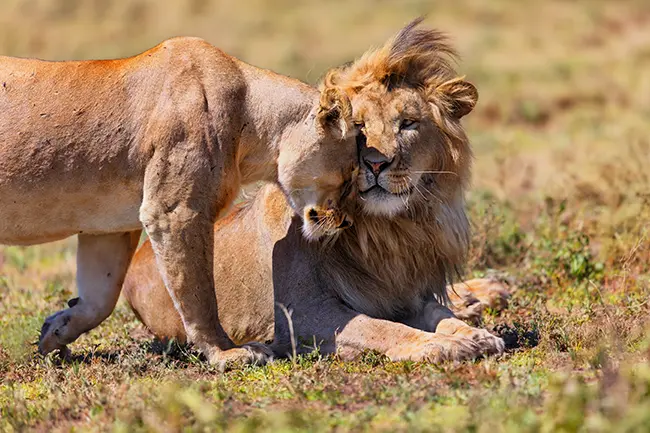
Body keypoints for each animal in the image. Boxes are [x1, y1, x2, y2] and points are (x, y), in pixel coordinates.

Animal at [0, 36, 356, 364]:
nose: (347, 222)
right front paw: (226, 352)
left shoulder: (108, 227)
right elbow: (198, 294)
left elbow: (99, 299)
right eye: (352, 176)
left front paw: (55, 331)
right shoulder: (175, 213)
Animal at [123, 21, 506, 364]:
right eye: (359, 126)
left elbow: (440, 315)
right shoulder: (301, 314)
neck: (388, 232)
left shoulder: (407, 294)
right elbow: (380, 327)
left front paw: (474, 335)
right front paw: (437, 345)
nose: (376, 164)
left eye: (408, 123)